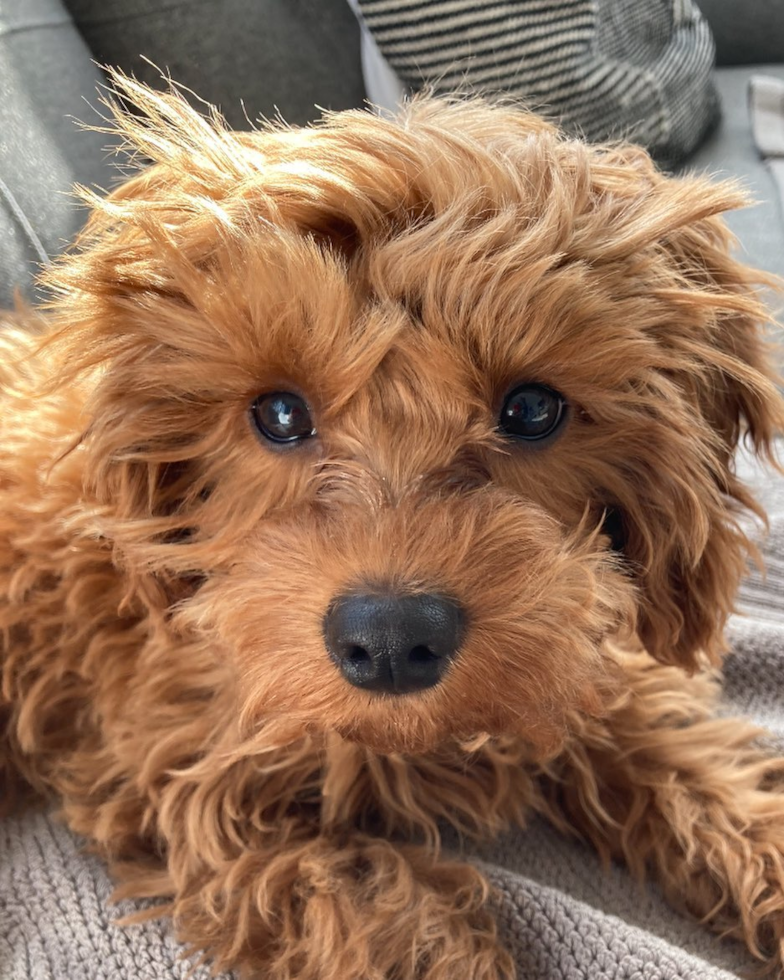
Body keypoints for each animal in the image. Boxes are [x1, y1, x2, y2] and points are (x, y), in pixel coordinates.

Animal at [1, 74, 784, 980]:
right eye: (278, 413)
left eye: (532, 409)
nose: (389, 639)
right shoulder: (181, 779)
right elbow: (376, 913)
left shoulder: (577, 651)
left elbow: (676, 750)